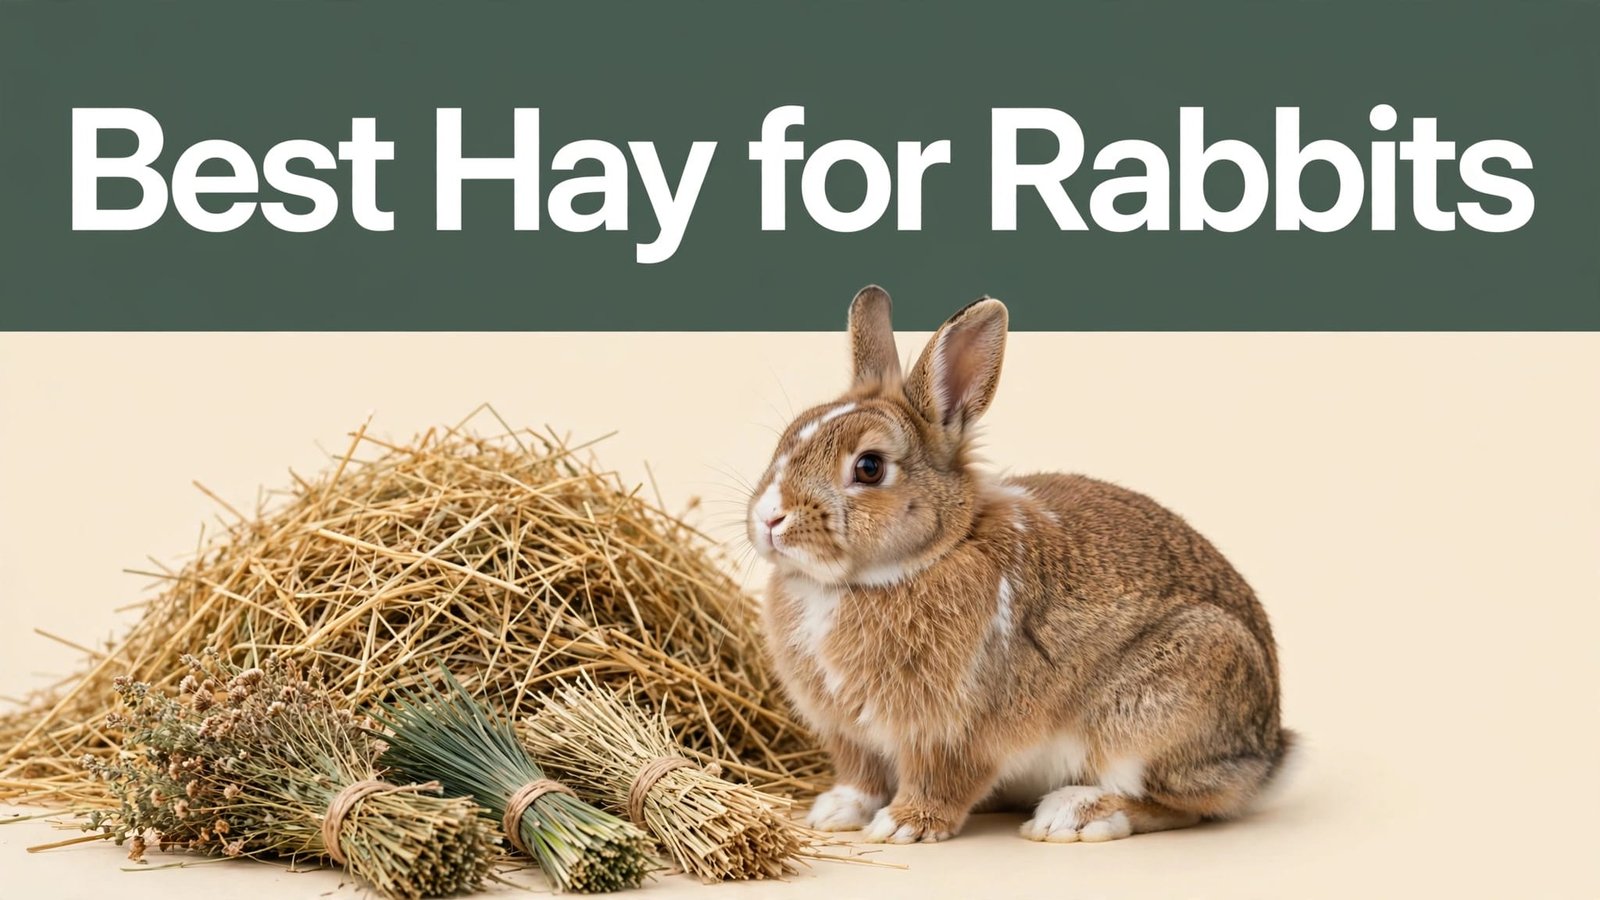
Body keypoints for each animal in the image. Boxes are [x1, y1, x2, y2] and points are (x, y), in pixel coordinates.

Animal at [747, 286, 1292, 844]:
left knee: (1180, 805)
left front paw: (904, 826)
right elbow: (861, 775)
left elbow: (939, 780)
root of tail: (1267, 754)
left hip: (1153, 712)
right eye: (787, 438)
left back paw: (1074, 814)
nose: (769, 517)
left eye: (870, 467)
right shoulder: (850, 734)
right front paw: (835, 812)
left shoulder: (955, 731)